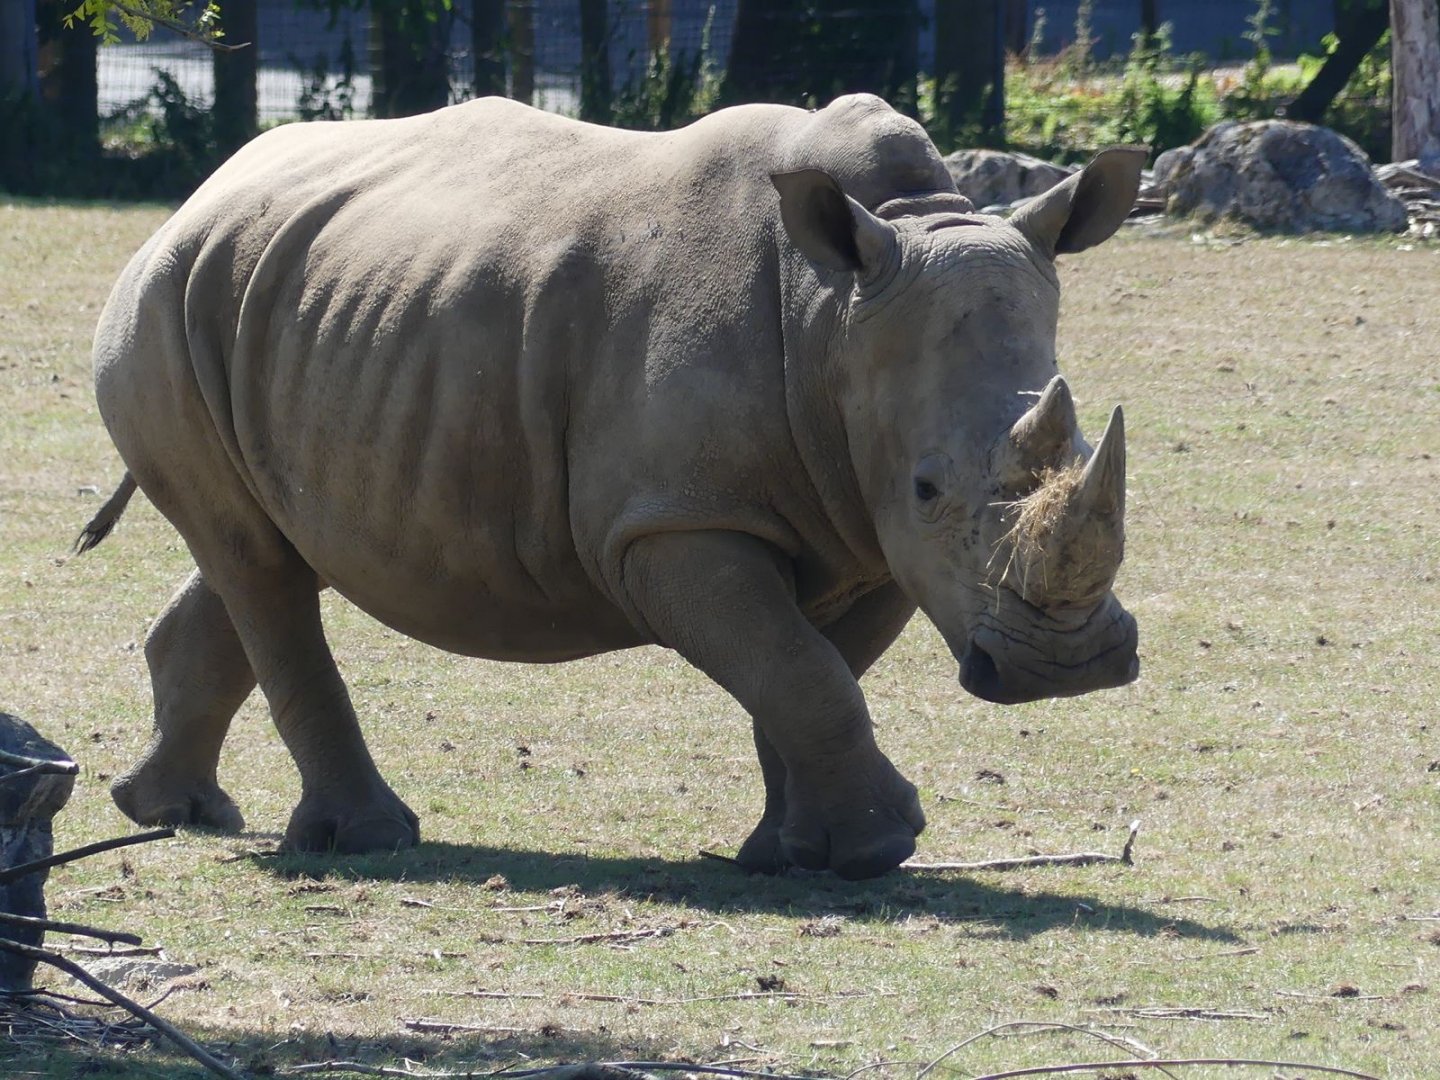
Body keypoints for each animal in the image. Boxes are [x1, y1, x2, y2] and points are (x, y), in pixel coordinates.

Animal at [80, 94, 1141, 880]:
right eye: (928, 487)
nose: (1065, 669)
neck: (834, 311)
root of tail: (200, 196)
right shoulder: (670, 525)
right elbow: (802, 671)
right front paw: (876, 849)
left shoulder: (868, 532)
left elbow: (805, 671)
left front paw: (793, 855)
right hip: (160, 302)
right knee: (256, 562)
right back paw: (368, 842)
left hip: (287, 308)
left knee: (267, 549)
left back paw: (176, 810)